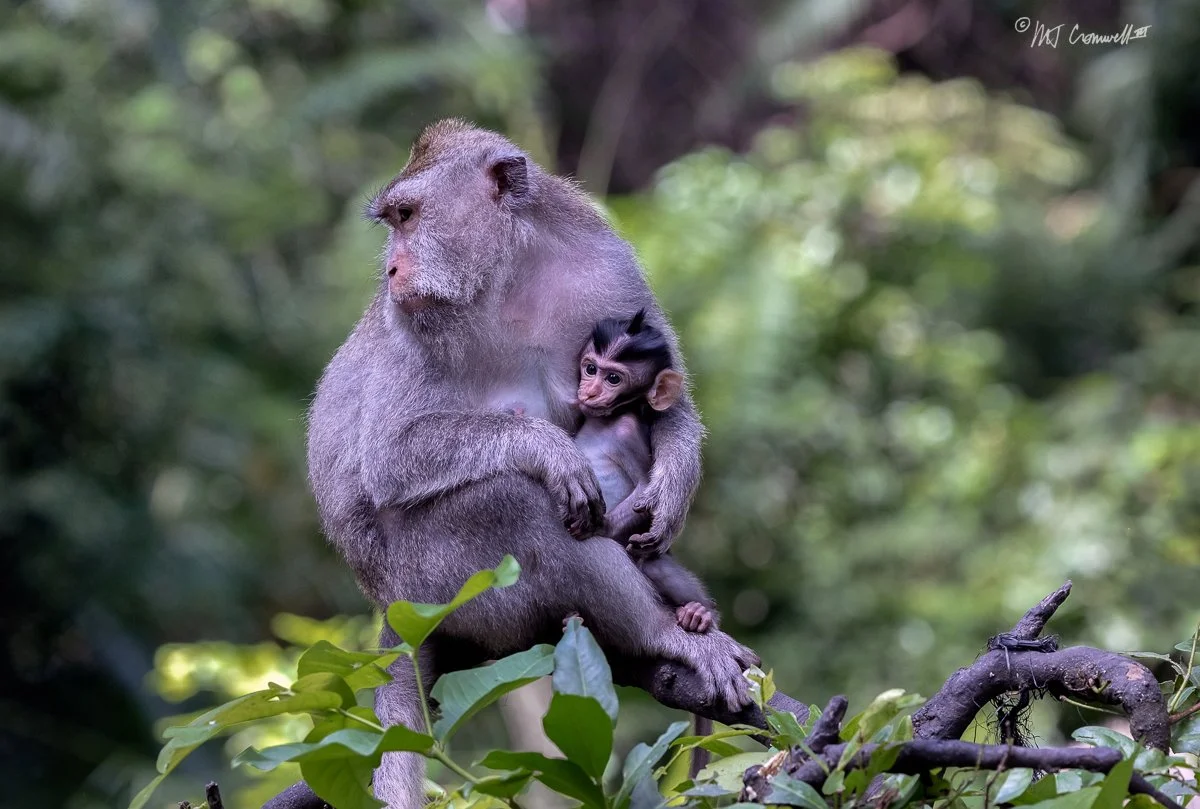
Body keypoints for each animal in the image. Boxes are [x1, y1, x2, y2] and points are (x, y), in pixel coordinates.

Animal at [571, 310, 718, 633]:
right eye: (590, 369)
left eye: (613, 378)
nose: (590, 391)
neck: (604, 423)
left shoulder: (627, 433)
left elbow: (645, 488)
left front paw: (599, 526)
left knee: (652, 563)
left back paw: (701, 612)